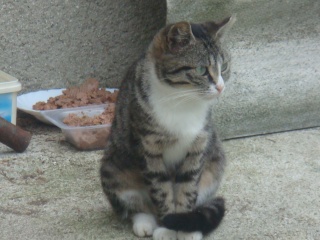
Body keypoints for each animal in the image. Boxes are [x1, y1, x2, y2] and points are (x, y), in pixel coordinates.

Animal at [100, 15, 235, 240]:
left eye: (223, 66)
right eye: (201, 70)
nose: (220, 87)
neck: (182, 101)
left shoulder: (198, 146)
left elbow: (187, 189)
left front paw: (185, 228)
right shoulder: (149, 149)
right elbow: (161, 191)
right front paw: (166, 229)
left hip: (215, 164)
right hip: (112, 168)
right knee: (136, 206)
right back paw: (145, 222)